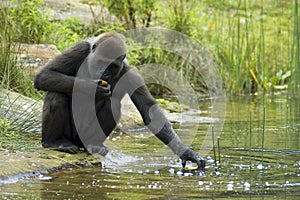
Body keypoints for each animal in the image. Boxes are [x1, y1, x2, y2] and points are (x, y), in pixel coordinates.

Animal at [34, 31, 205, 169]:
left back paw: (93, 144)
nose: (104, 73)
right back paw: (54, 142)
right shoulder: (80, 49)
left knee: (113, 104)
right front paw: (92, 87)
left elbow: (150, 111)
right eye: (101, 62)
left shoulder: (131, 74)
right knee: (56, 95)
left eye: (112, 65)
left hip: (82, 138)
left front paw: (187, 152)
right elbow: (45, 75)